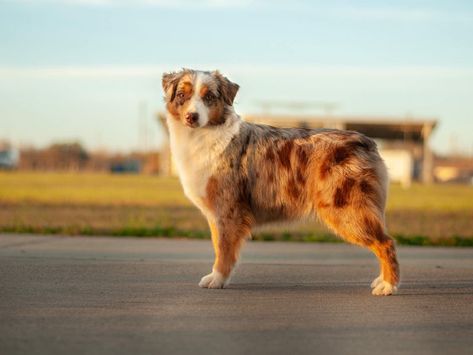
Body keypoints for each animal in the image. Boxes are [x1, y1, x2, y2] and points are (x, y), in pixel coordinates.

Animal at [161, 68, 398, 296]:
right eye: (182, 95)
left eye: (209, 97)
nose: (192, 117)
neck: (203, 136)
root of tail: (366, 141)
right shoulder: (216, 214)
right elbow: (218, 247)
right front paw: (216, 276)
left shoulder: (228, 210)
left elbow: (225, 250)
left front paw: (218, 279)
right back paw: (381, 280)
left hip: (346, 209)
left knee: (386, 243)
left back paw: (388, 286)